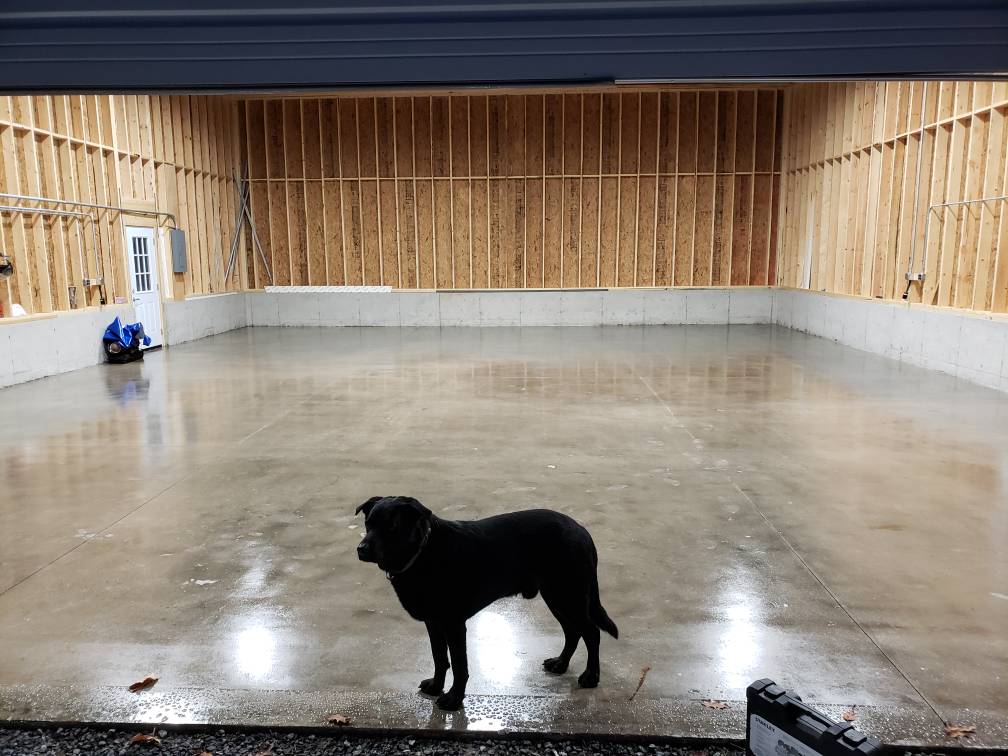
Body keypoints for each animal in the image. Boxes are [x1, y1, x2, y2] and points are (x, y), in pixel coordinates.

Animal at [355, 495, 619, 710]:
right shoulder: (433, 622)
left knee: (591, 632)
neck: (424, 552)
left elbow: (459, 665)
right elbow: (439, 658)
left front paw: (454, 698)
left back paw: (591, 676)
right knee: (573, 631)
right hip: (557, 597)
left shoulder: (453, 624)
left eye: (392, 527)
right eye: (368, 524)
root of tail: (582, 531)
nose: (361, 549)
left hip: (568, 596)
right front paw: (436, 686)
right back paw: (561, 663)